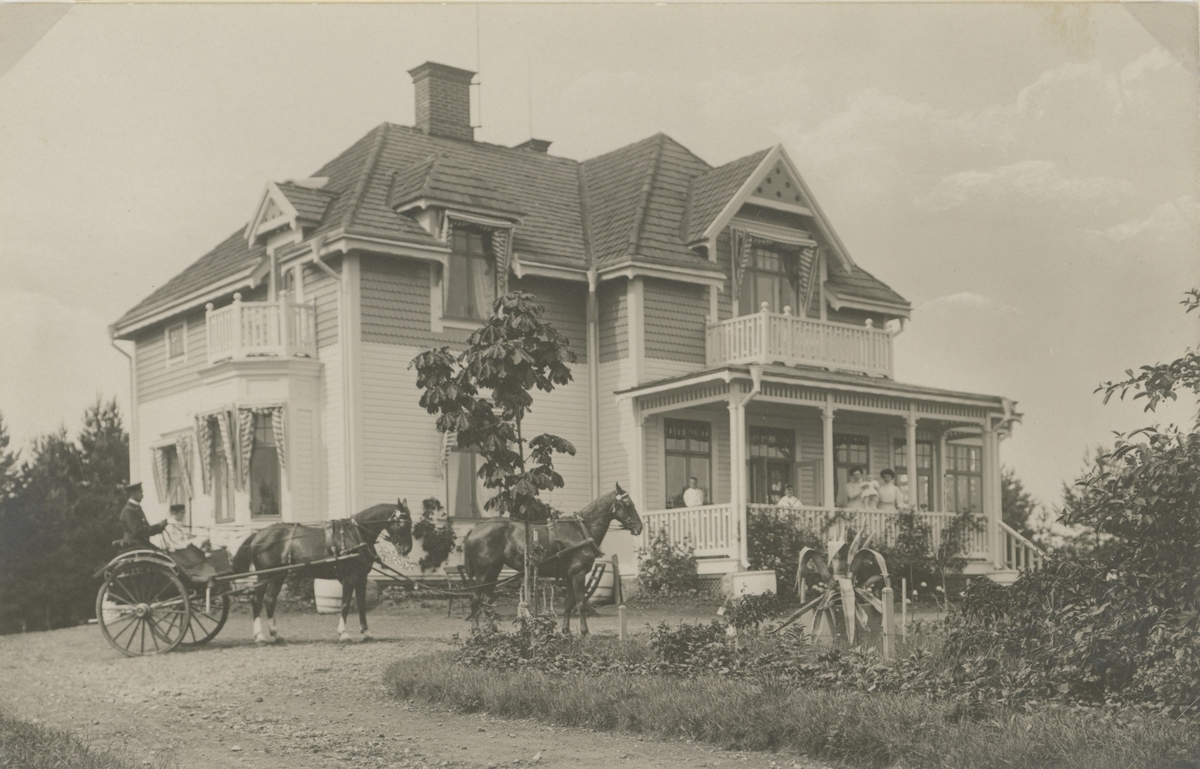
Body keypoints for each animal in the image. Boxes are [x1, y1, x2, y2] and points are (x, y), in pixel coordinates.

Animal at [231, 500, 412, 644]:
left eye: (411, 523)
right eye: (403, 523)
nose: (407, 549)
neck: (355, 534)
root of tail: (259, 534)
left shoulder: (361, 578)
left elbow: (362, 605)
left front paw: (366, 632)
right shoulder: (349, 578)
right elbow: (345, 604)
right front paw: (343, 634)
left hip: (278, 576)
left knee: (269, 601)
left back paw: (276, 635)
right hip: (264, 575)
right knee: (256, 600)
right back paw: (260, 636)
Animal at [462, 483, 643, 635]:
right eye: (628, 505)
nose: (639, 527)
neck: (581, 530)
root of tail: (476, 528)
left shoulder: (570, 576)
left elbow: (569, 603)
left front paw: (566, 630)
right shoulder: (578, 574)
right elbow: (580, 603)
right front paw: (585, 631)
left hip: (494, 571)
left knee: (486, 601)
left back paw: (492, 630)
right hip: (484, 572)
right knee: (476, 600)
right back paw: (476, 630)